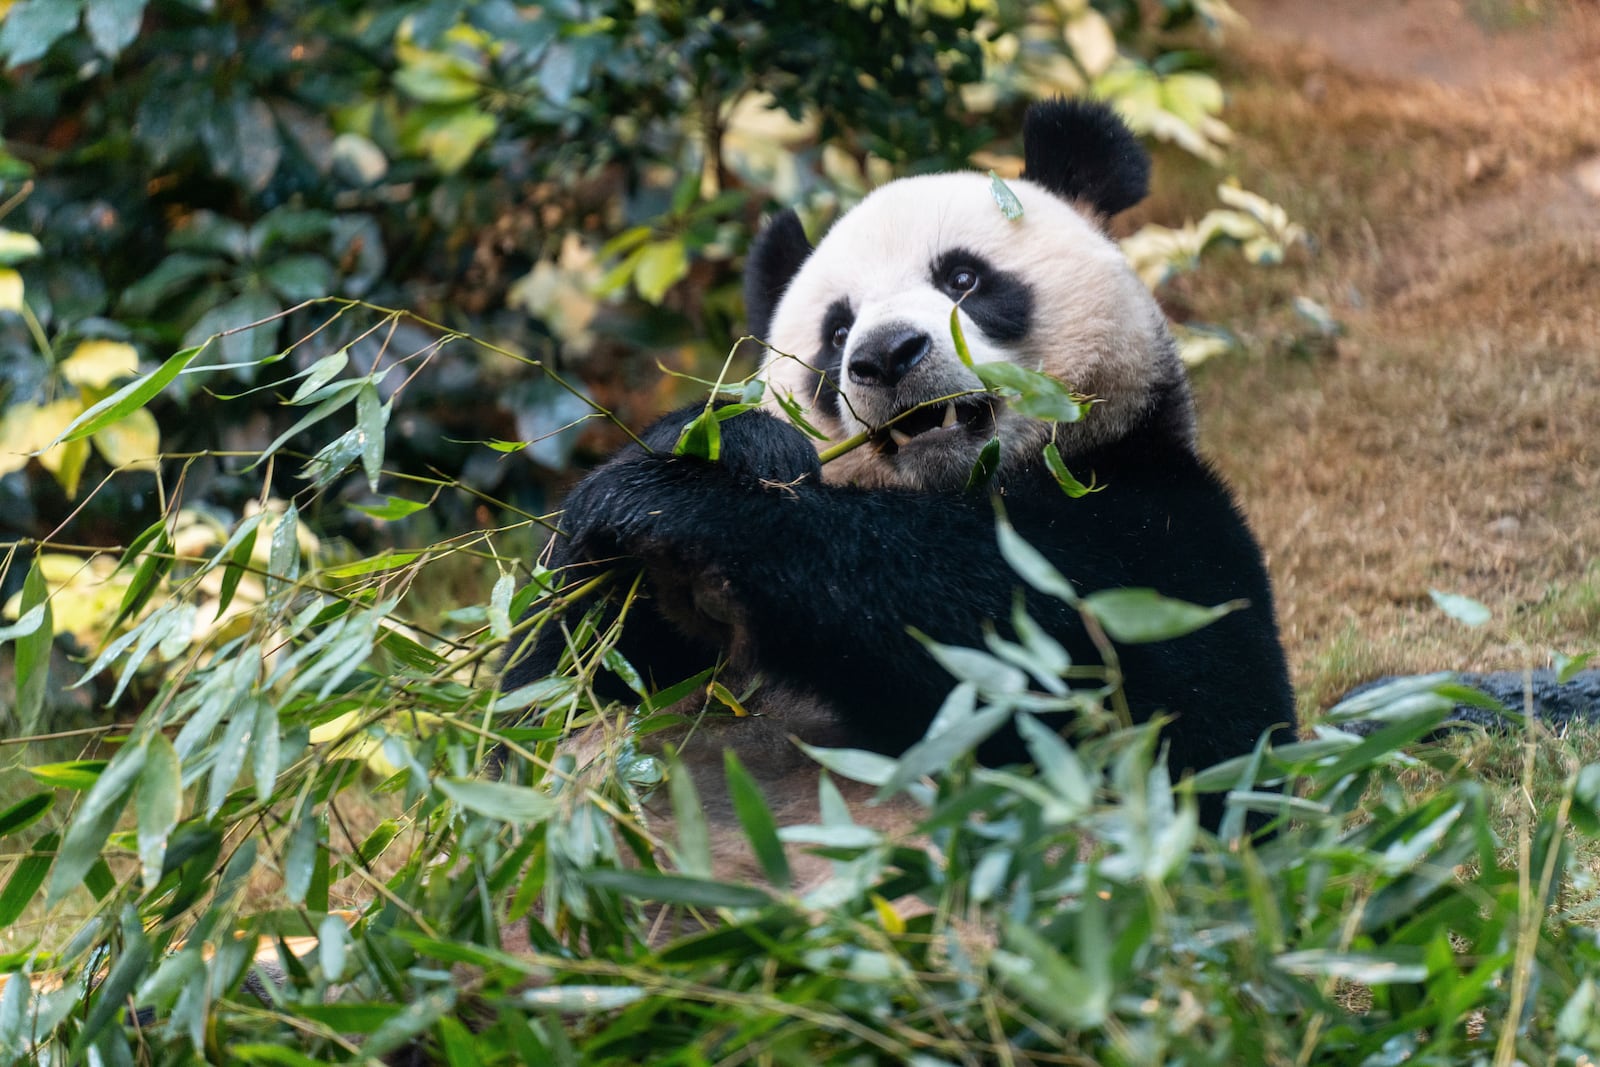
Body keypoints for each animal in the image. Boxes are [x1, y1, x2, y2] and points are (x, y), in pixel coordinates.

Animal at [505, 97, 1292, 870]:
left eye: (963, 279)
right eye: (836, 329)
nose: (886, 355)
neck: (962, 486)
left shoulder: (1159, 518)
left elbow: (1154, 701)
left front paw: (692, 511)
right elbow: (544, 700)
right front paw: (705, 458)